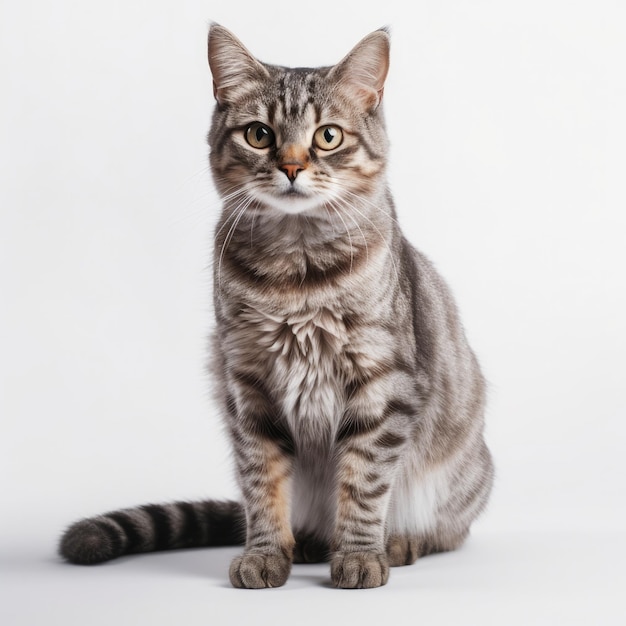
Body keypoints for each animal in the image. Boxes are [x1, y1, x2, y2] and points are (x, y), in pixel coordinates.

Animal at [58, 24, 492, 588]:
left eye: (327, 136)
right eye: (259, 135)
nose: (290, 166)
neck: (297, 271)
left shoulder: (382, 382)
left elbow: (363, 481)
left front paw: (359, 555)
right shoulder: (247, 382)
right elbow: (262, 481)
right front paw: (265, 554)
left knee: (446, 531)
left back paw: (398, 542)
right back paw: (307, 541)